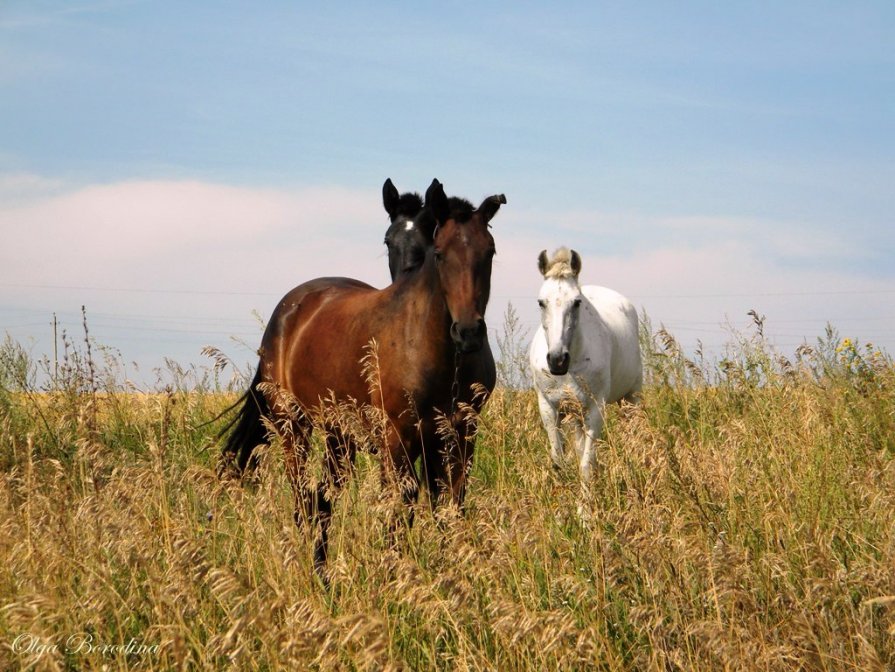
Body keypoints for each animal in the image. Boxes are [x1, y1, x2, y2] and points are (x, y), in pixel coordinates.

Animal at [221, 180, 508, 572]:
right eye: (440, 253)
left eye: (489, 252)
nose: (468, 333)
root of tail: (287, 311)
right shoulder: (397, 437)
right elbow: (399, 509)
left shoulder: (459, 434)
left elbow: (449, 506)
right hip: (292, 425)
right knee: (302, 498)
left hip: (338, 434)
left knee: (323, 499)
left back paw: (322, 570)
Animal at [528, 247, 640, 488]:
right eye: (541, 302)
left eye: (577, 302)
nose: (557, 360)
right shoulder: (549, 408)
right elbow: (559, 460)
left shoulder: (596, 409)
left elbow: (586, 464)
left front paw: (586, 499)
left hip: (632, 398)